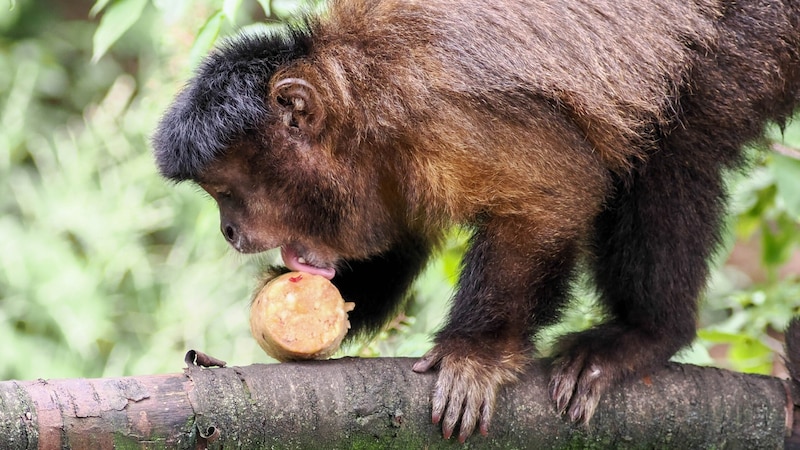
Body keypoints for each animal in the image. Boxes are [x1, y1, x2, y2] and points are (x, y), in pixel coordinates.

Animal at [152, 0, 800, 442]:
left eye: (227, 193)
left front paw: (475, 354)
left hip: (755, 35)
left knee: (674, 153)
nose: (228, 230)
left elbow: (558, 188)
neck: (361, 99)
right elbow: (397, 233)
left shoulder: (446, 120)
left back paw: (646, 334)